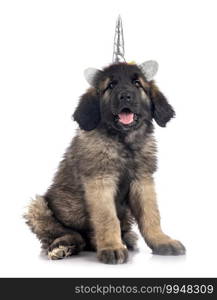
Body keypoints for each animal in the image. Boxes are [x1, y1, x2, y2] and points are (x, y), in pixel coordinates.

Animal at [25, 62, 185, 262]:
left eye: (137, 84)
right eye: (111, 85)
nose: (125, 96)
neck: (123, 142)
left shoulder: (142, 180)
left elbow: (151, 215)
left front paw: (162, 241)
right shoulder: (100, 180)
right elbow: (107, 217)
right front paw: (111, 247)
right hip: (39, 206)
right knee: (69, 235)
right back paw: (63, 246)